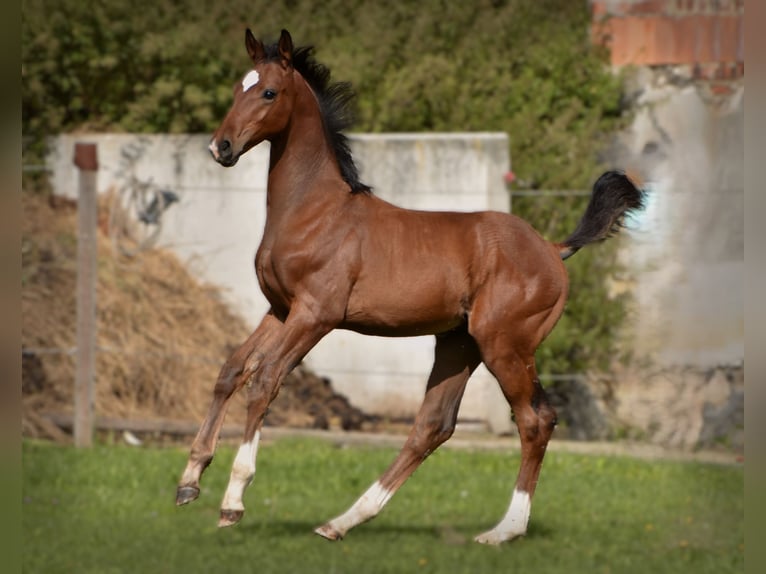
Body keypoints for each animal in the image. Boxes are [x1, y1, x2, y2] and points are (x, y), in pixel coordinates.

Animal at [177, 29, 644, 548]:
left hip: (505, 345)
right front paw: (189, 480)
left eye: (269, 93)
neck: (314, 211)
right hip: (460, 344)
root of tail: (552, 247)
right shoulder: (279, 309)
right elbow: (231, 370)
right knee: (433, 425)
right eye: (237, 88)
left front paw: (233, 501)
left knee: (534, 420)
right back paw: (342, 522)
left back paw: (504, 530)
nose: (221, 147)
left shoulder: (316, 314)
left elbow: (265, 381)